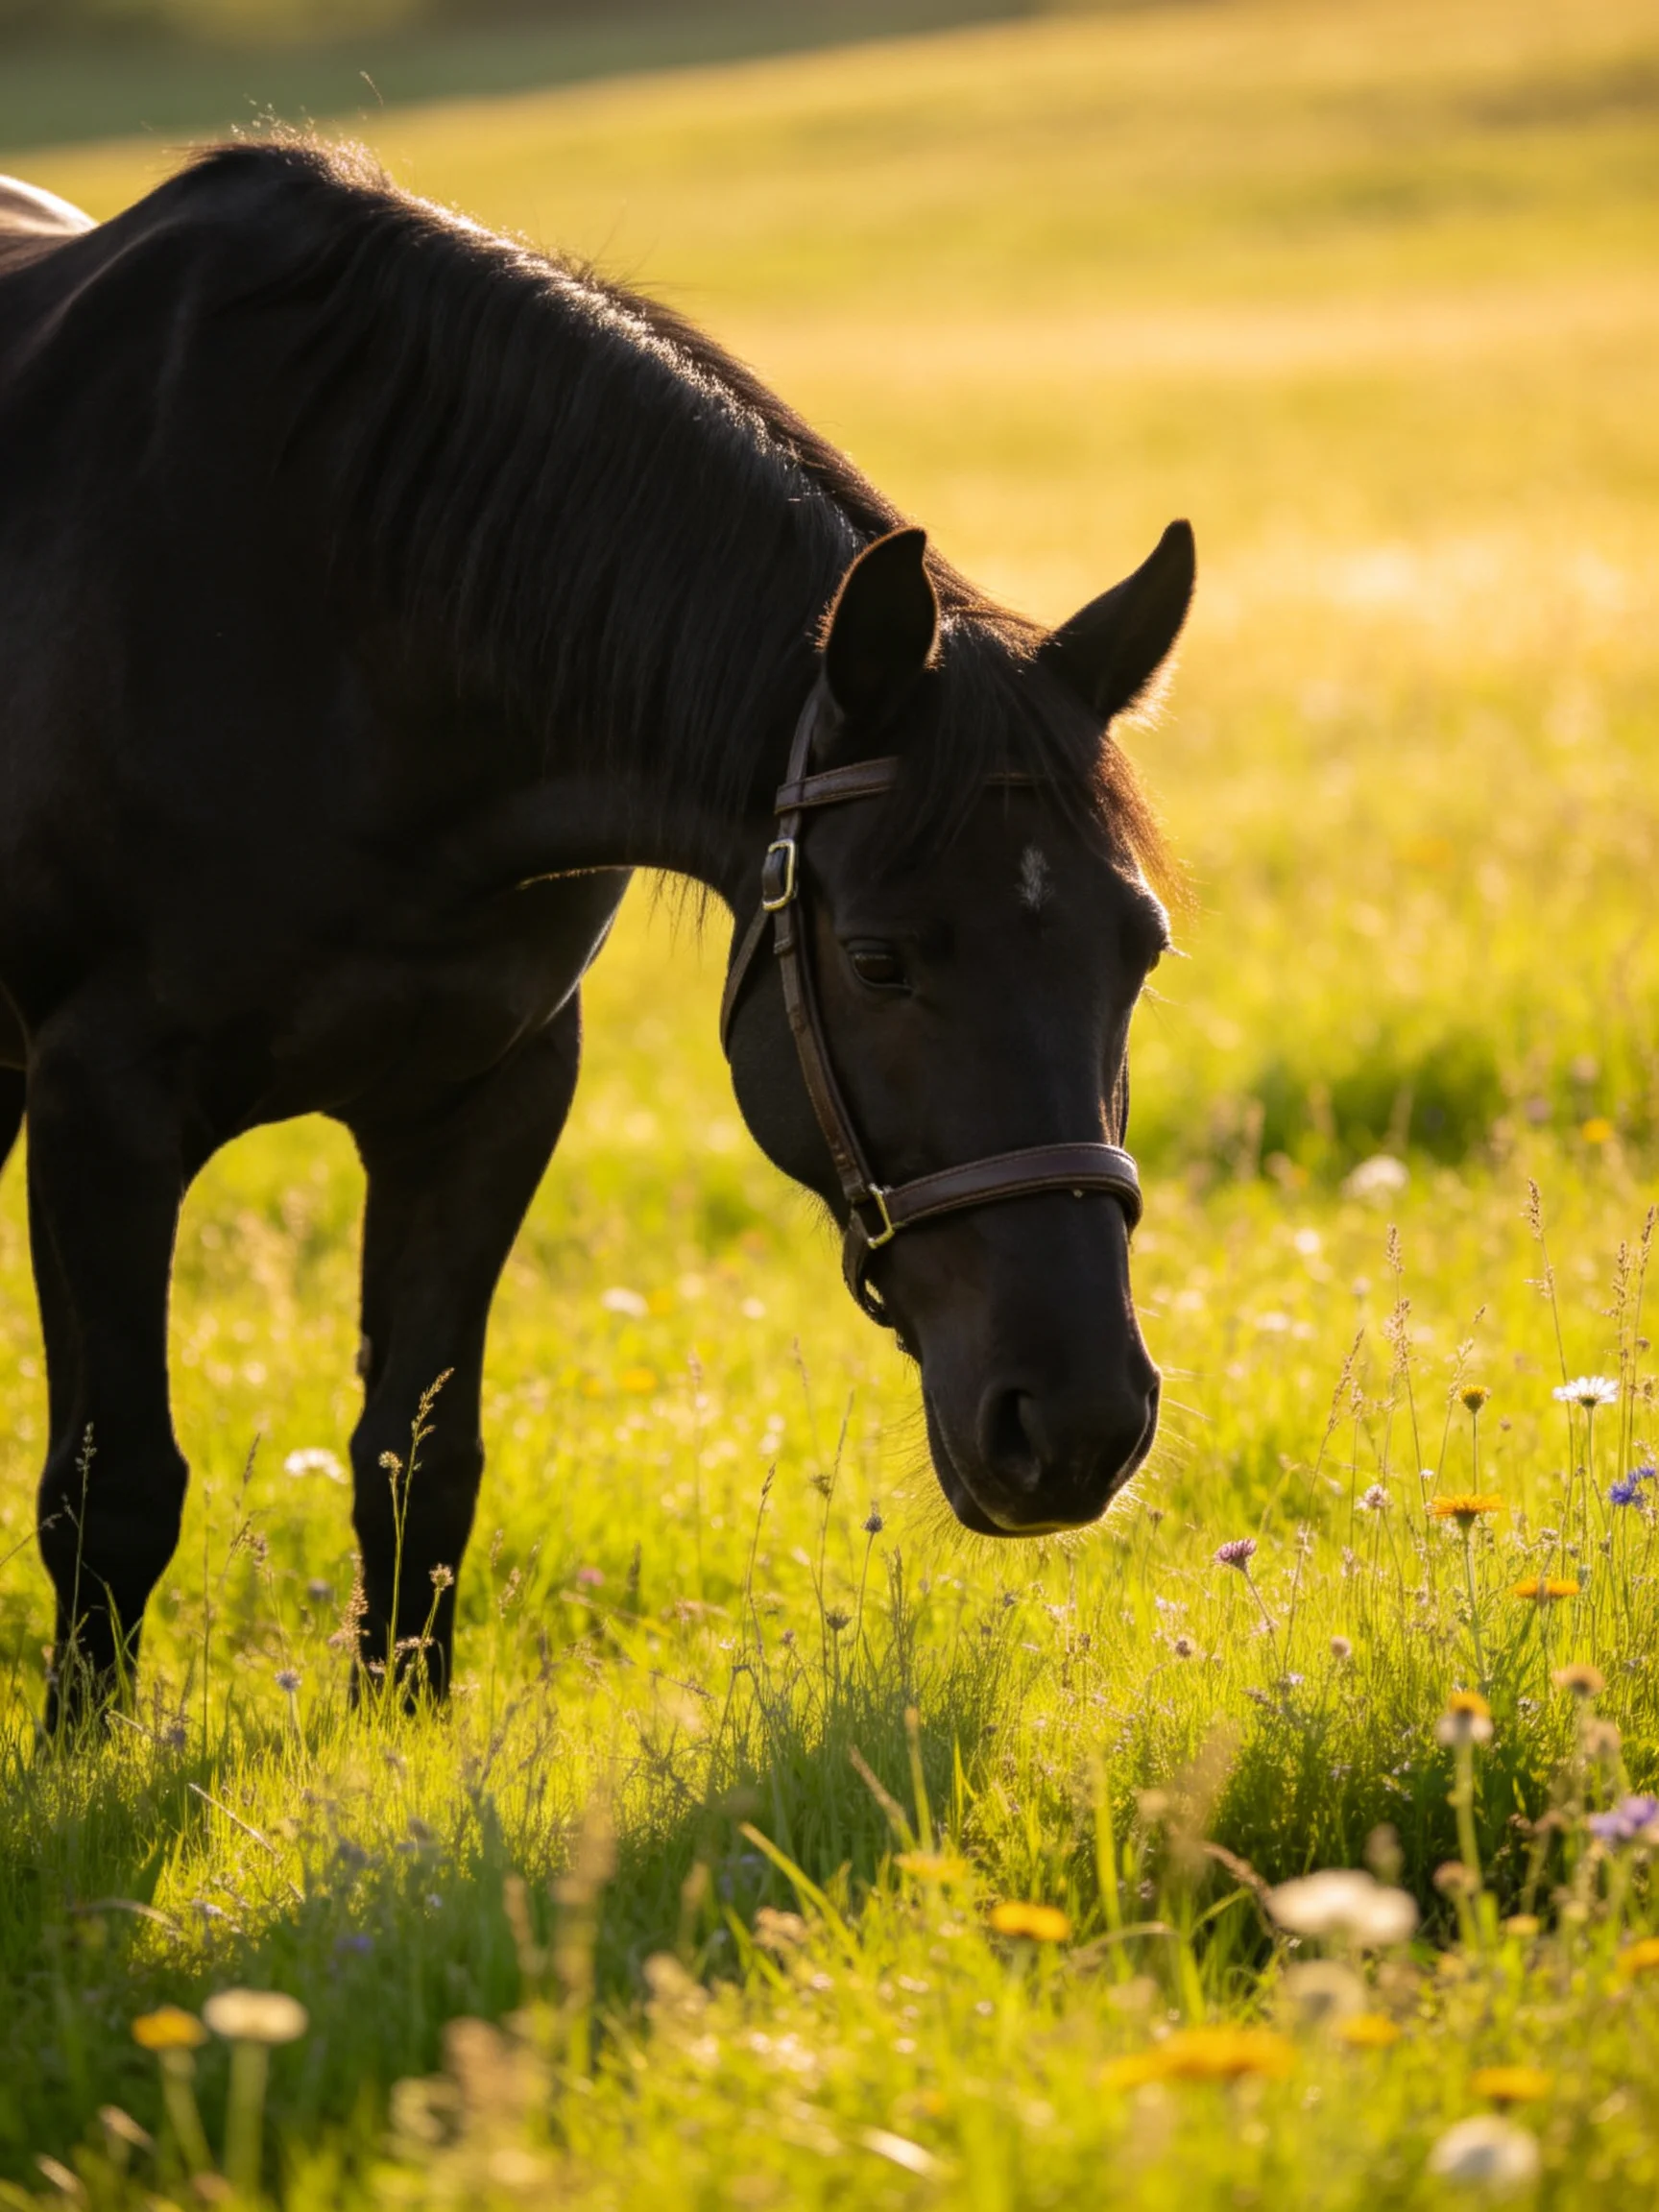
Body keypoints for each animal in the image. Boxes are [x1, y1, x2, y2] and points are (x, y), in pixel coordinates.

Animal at [0, 139, 1193, 1725]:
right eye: (879, 959)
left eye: (1140, 953)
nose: (1076, 1428)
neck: (342, 628)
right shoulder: (102, 1109)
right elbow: (112, 1484)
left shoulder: (488, 1098)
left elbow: (419, 1466)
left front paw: (405, 1731)